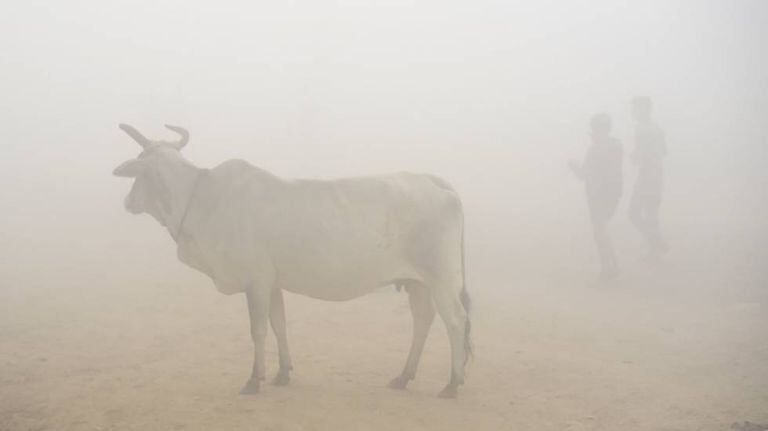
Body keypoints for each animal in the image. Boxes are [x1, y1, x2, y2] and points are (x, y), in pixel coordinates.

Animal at [113, 124, 471, 398]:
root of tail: (434, 181)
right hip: (417, 282)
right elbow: (279, 324)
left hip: (441, 278)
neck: (200, 196)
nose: (128, 202)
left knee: (455, 321)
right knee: (423, 320)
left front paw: (253, 379)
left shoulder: (255, 282)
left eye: (140, 166)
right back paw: (403, 376)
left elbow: (258, 330)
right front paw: (282, 373)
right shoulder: (271, 283)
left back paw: (452, 384)